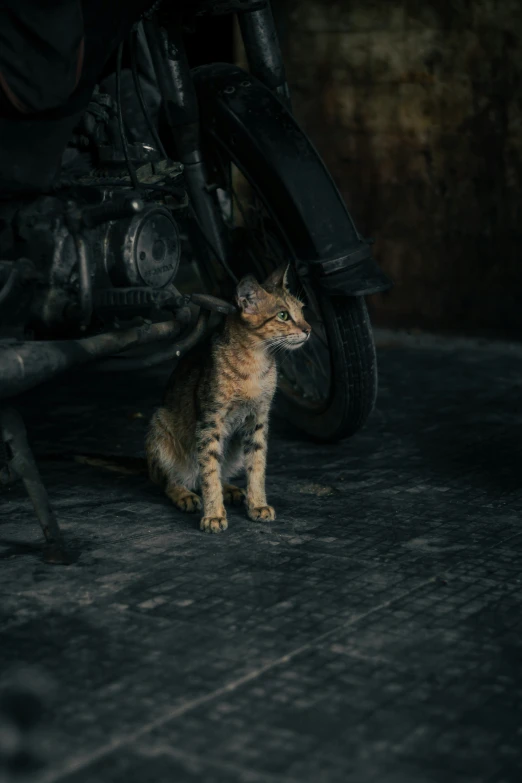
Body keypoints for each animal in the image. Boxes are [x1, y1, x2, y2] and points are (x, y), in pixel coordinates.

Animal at [144, 268, 308, 532]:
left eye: (302, 311)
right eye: (283, 315)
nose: (308, 329)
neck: (255, 363)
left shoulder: (258, 419)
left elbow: (257, 465)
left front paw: (258, 504)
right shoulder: (211, 420)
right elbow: (209, 470)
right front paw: (214, 514)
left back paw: (230, 490)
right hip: (160, 426)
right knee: (170, 481)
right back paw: (185, 495)